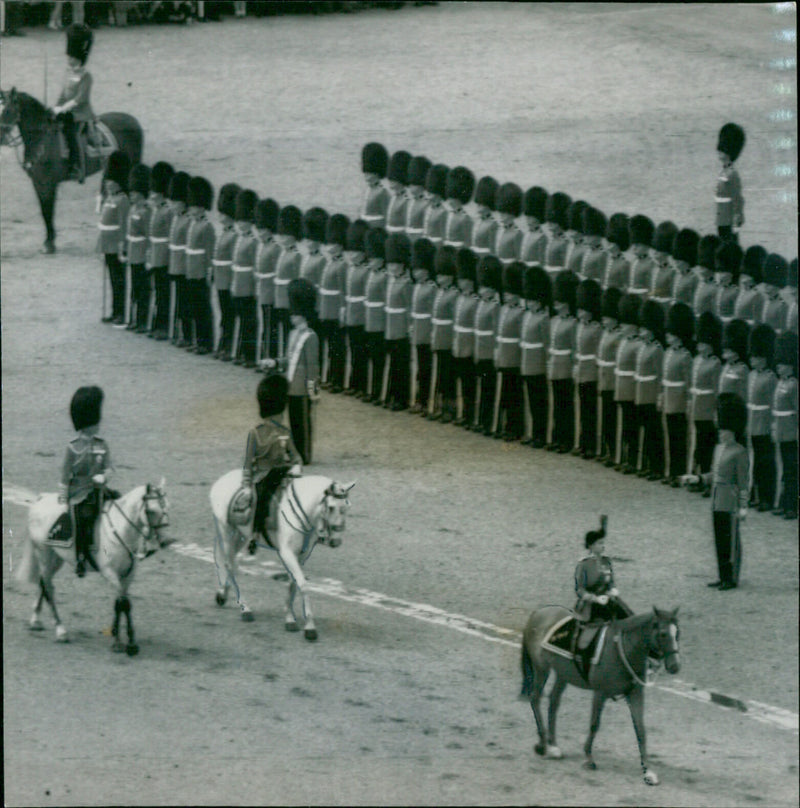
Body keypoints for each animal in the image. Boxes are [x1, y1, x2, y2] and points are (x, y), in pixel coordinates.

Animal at [0, 88, 142, 252]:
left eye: (7, 110)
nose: (1, 138)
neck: (42, 139)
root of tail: (133, 120)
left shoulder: (49, 183)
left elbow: (49, 209)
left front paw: (49, 243)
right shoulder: (38, 182)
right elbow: (44, 210)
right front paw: (48, 241)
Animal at [15, 480, 170, 656]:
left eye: (167, 507)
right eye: (151, 511)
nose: (165, 541)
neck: (121, 530)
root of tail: (40, 499)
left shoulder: (128, 575)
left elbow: (123, 604)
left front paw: (123, 637)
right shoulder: (110, 574)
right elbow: (122, 603)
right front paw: (120, 643)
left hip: (56, 558)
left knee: (43, 582)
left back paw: (35, 620)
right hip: (44, 555)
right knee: (48, 588)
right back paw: (61, 631)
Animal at [209, 470, 354, 640]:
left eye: (346, 506)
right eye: (331, 507)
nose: (336, 542)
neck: (303, 511)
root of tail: (222, 480)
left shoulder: (300, 556)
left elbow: (292, 584)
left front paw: (290, 619)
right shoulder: (287, 553)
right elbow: (303, 585)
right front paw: (310, 627)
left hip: (240, 535)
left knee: (230, 561)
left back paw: (223, 595)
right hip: (226, 530)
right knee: (229, 565)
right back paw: (245, 609)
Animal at [520, 608, 680, 784]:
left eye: (677, 633)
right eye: (663, 634)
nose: (675, 666)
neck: (622, 650)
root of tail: (539, 612)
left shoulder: (635, 694)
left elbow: (640, 730)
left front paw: (647, 771)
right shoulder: (600, 693)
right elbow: (594, 724)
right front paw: (589, 758)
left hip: (563, 675)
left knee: (553, 702)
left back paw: (554, 746)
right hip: (541, 668)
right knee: (535, 698)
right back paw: (542, 745)